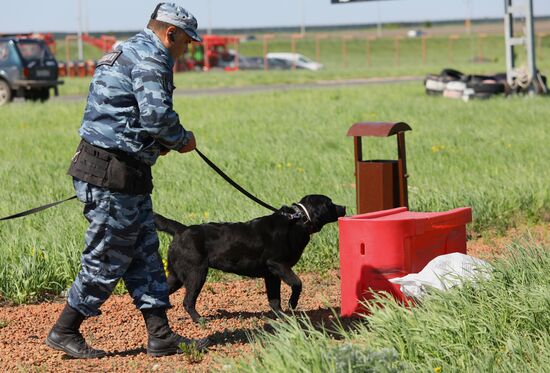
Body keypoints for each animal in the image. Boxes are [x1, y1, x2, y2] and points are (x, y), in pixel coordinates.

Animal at [154, 195, 344, 320]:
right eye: (330, 203)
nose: (344, 207)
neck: (298, 220)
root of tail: (181, 229)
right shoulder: (278, 265)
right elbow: (298, 283)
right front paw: (292, 304)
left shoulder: (271, 275)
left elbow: (274, 301)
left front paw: (281, 316)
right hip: (196, 274)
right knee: (187, 301)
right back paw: (199, 320)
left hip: (176, 276)